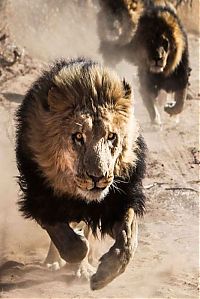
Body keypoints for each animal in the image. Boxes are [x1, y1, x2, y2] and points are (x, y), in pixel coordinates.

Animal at [15, 58, 146, 290]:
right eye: (78, 137)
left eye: (111, 136)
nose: (97, 178)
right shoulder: (40, 198)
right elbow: (68, 242)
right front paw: (77, 251)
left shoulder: (119, 201)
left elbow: (129, 239)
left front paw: (104, 273)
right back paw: (55, 262)